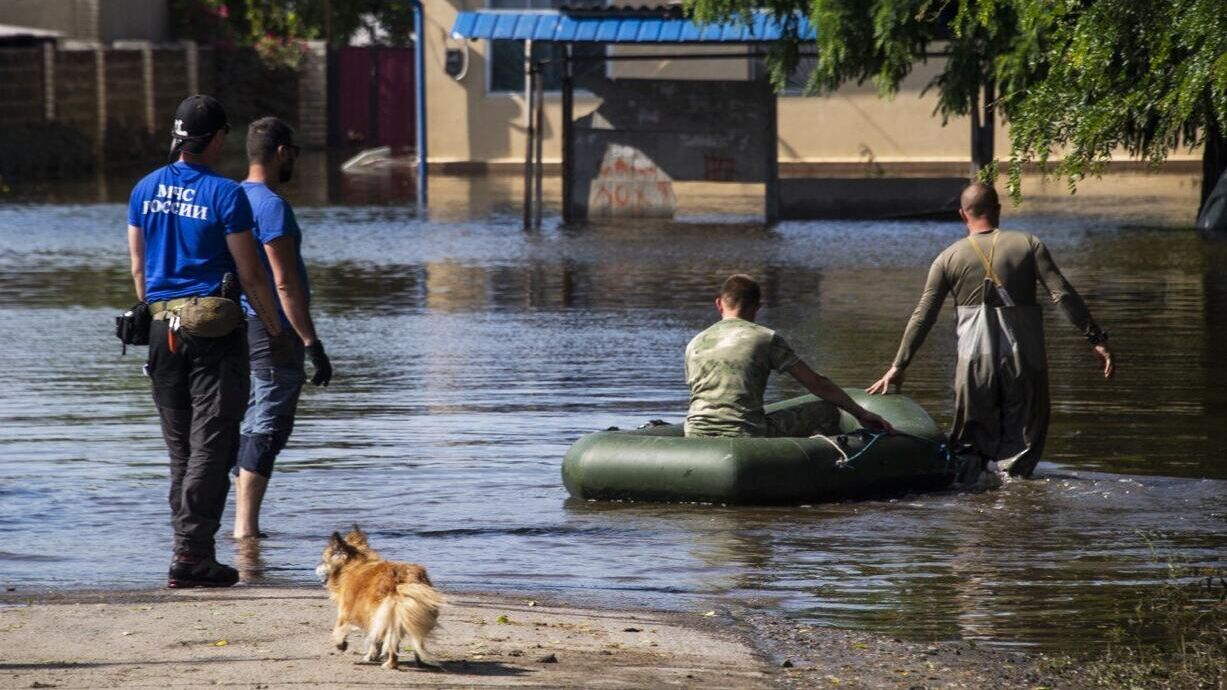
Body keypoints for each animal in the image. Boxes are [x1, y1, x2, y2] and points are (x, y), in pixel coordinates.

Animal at [316, 525, 446, 667]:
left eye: (324, 560)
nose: (316, 567)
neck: (354, 564)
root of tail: (404, 579)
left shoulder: (347, 611)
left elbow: (339, 628)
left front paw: (341, 644)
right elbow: (375, 638)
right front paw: (373, 655)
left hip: (386, 613)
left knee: (392, 642)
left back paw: (390, 664)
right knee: (417, 638)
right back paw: (419, 660)